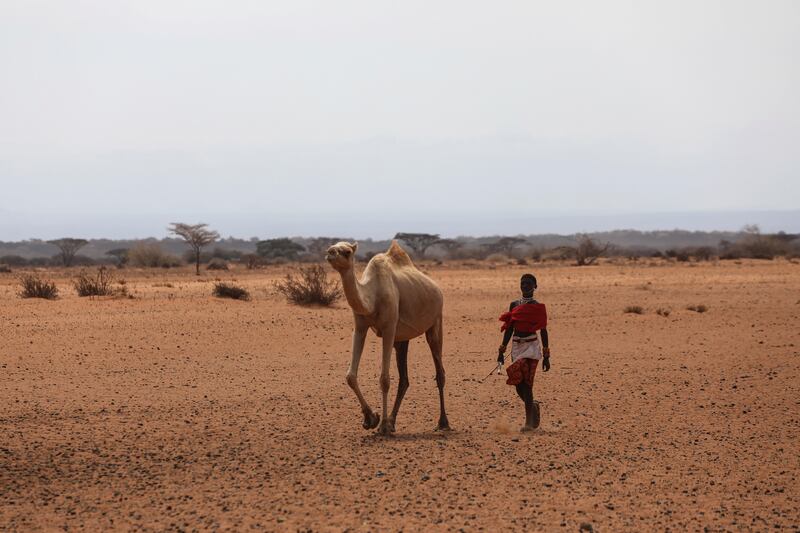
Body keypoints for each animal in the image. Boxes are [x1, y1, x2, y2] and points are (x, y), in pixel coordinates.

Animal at [324, 239, 450, 434]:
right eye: (332, 247)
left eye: (347, 252)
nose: (330, 253)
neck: (372, 296)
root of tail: (437, 289)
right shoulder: (360, 327)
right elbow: (350, 376)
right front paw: (371, 419)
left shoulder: (389, 328)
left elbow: (384, 379)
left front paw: (381, 424)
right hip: (402, 339)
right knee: (404, 379)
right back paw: (392, 421)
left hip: (436, 321)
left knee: (440, 371)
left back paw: (443, 422)